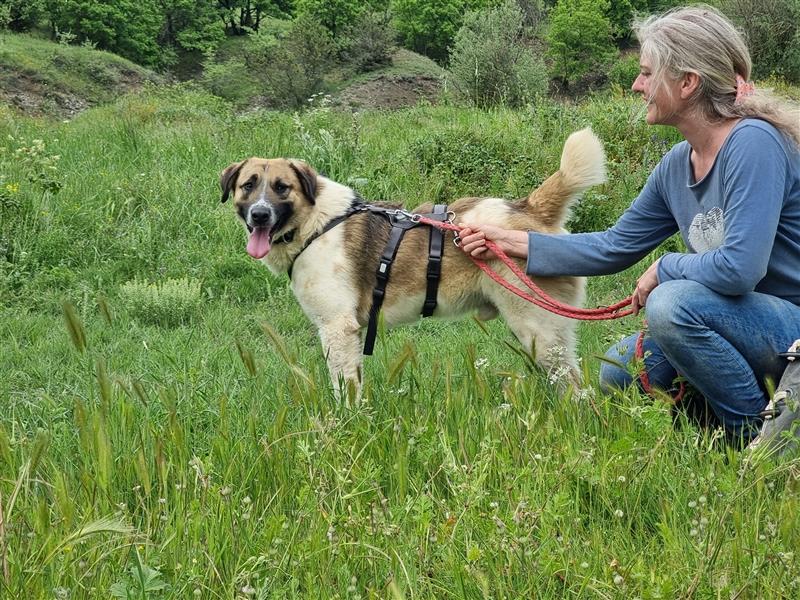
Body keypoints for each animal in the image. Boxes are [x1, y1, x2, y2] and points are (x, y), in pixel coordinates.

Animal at [219, 127, 608, 394]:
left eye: (281, 187)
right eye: (248, 185)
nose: (259, 215)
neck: (316, 221)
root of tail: (528, 208)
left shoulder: (338, 329)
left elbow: (345, 390)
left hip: (537, 330)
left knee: (576, 389)